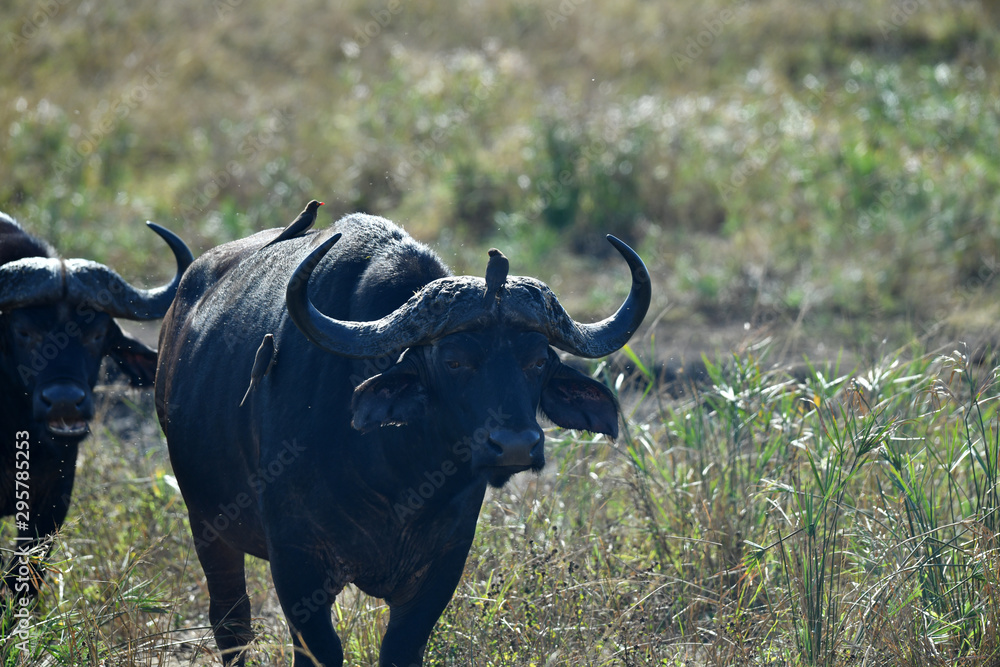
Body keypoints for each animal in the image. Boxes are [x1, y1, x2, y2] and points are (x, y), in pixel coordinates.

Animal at [155, 212, 650, 666]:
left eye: (539, 360)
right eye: (453, 361)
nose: (514, 445)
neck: (392, 475)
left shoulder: (442, 566)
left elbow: (400, 649)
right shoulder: (296, 563)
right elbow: (319, 650)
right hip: (206, 524)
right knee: (232, 623)